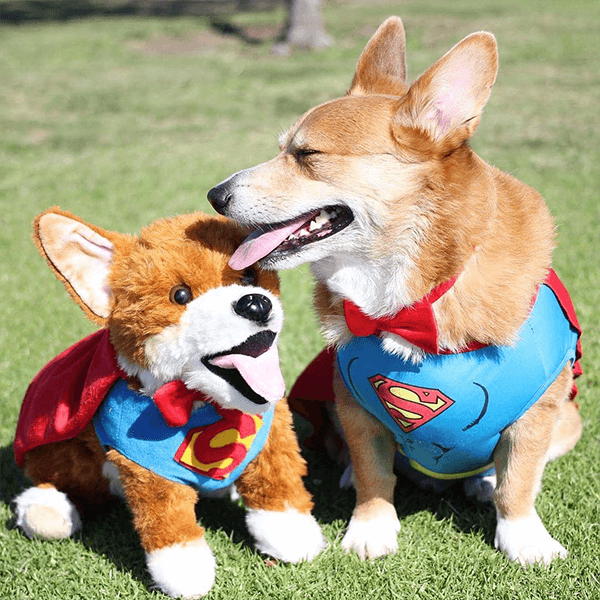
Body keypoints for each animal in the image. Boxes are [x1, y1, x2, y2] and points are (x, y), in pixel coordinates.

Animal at [12, 209, 324, 596]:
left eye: (250, 275)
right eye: (180, 295)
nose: (255, 303)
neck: (206, 403)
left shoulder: (273, 432)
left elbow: (279, 486)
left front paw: (293, 537)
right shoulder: (144, 467)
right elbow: (168, 521)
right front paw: (186, 573)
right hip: (65, 456)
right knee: (65, 481)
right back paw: (47, 510)